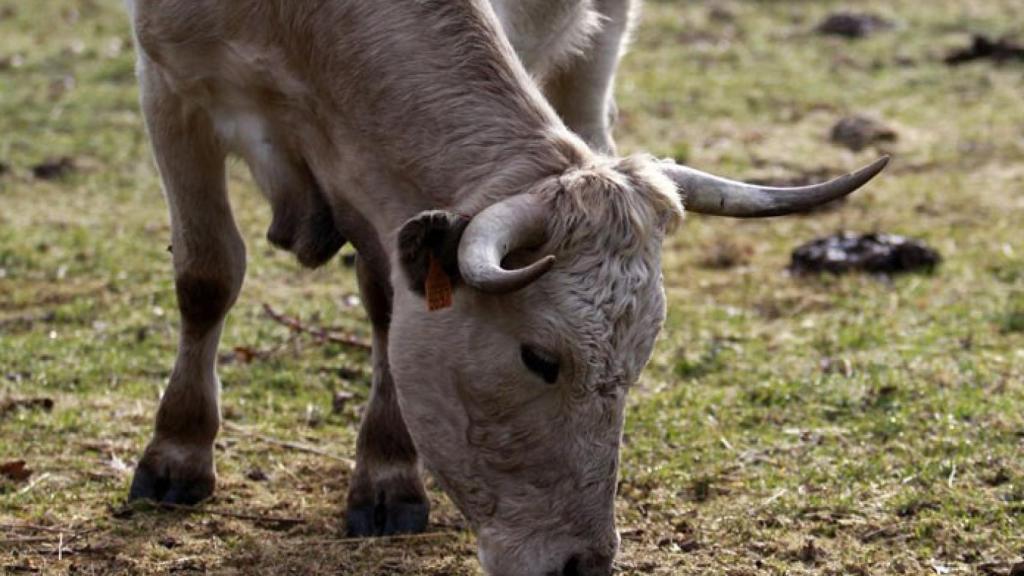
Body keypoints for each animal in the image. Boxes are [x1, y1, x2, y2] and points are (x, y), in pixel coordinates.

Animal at [122, 1, 887, 574]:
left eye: (637, 365)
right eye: (540, 359)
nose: (583, 565)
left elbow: (385, 301)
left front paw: (387, 474)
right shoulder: (169, 88)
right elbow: (206, 273)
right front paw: (176, 453)